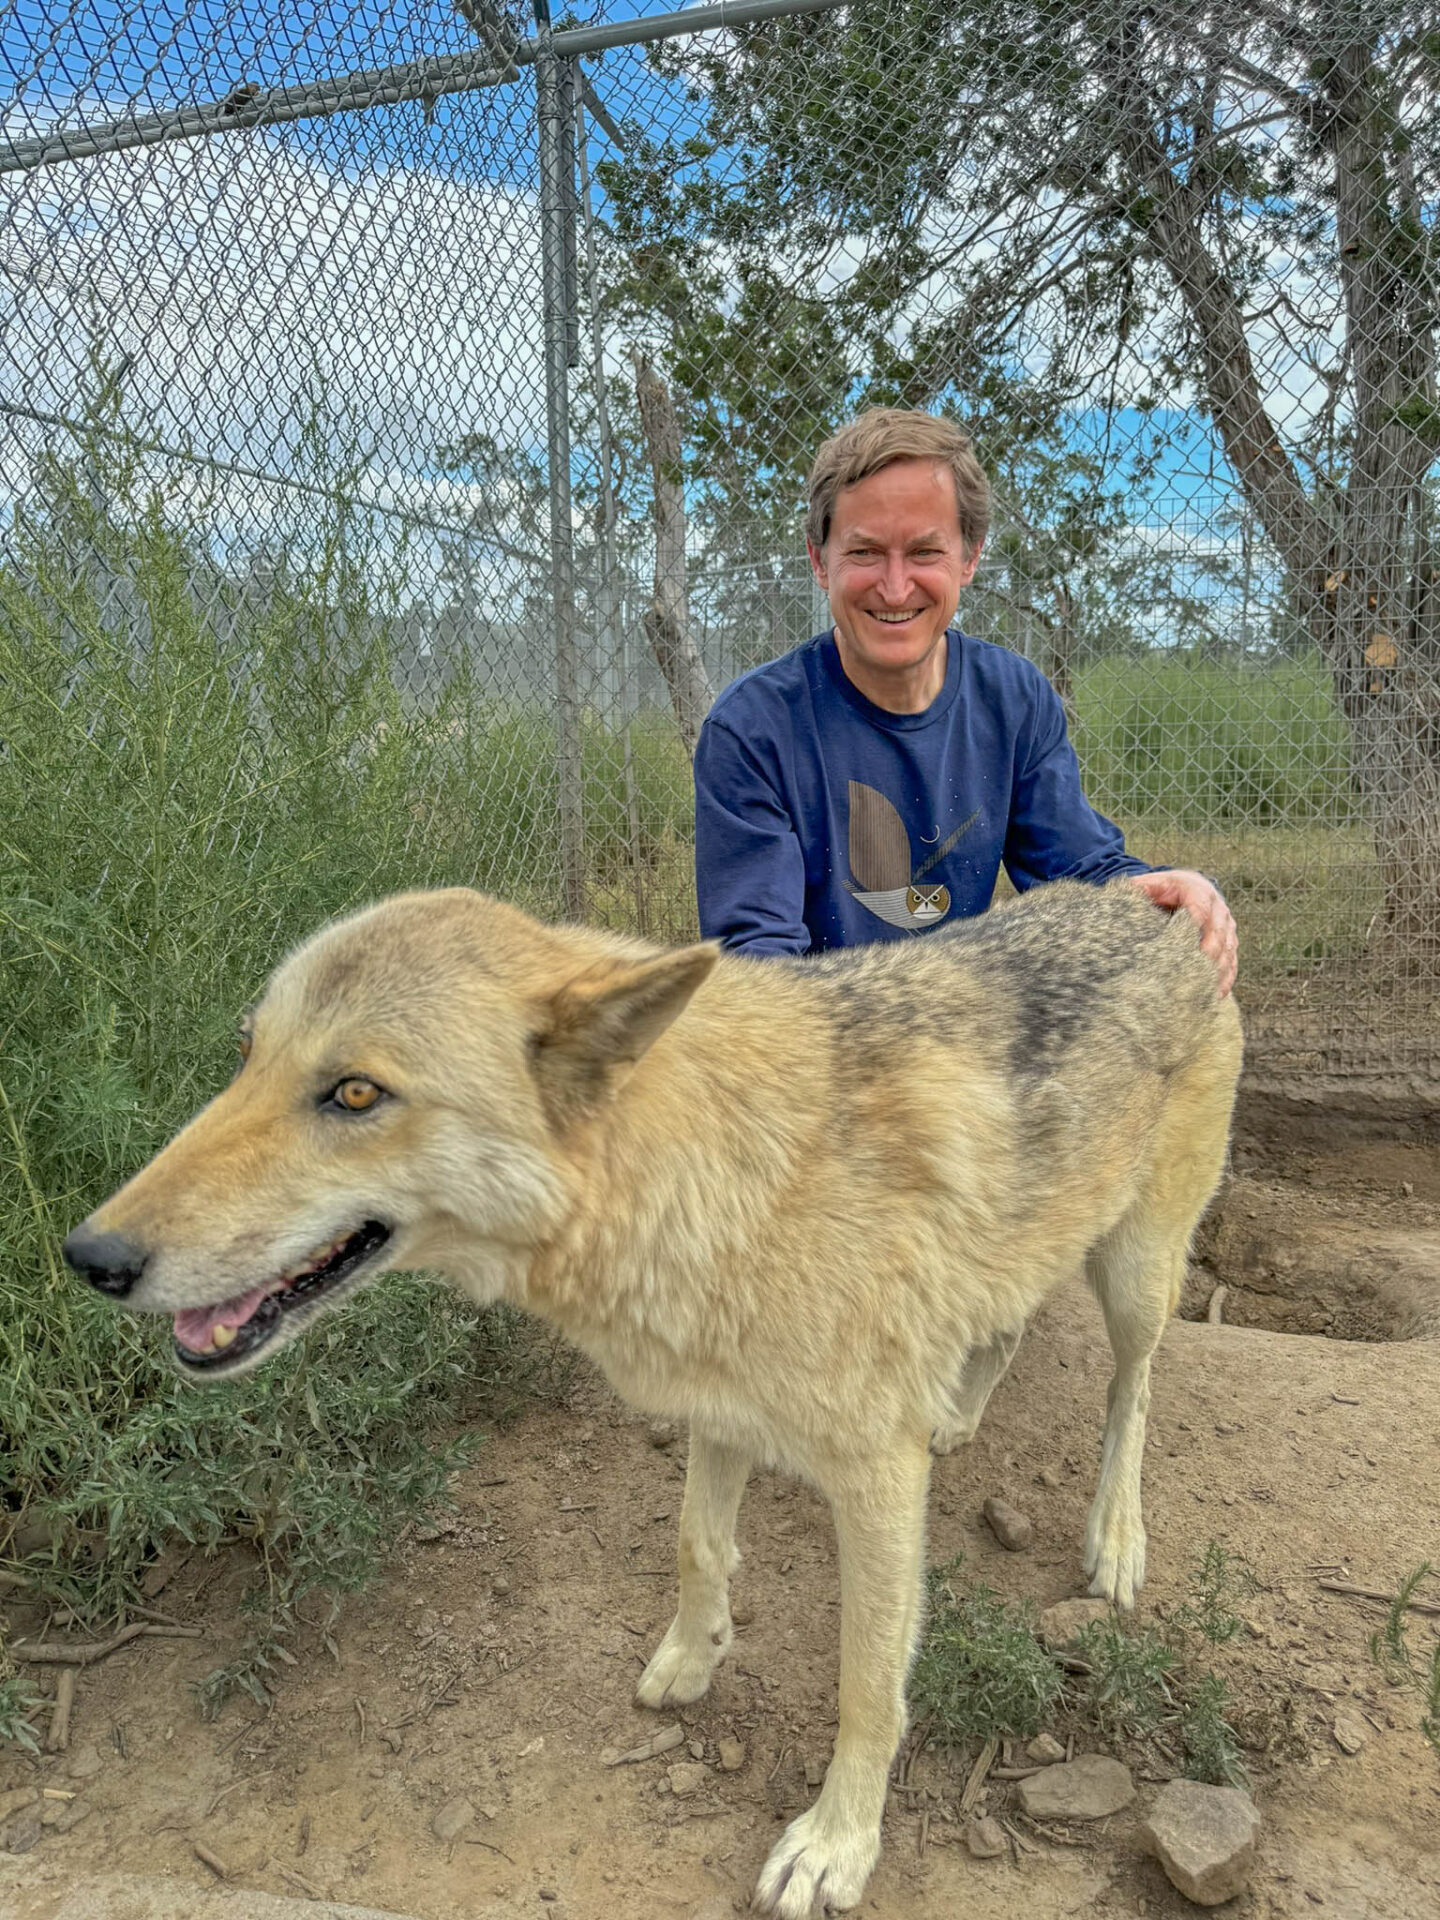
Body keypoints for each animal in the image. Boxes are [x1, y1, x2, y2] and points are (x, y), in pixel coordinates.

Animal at [64, 883, 1244, 1920]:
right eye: (246, 1053)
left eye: (355, 1093)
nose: (89, 1258)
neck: (720, 1171)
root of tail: (1147, 903)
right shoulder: (720, 1408)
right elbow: (696, 1544)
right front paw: (694, 1653)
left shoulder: (874, 1476)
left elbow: (868, 1682)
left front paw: (836, 1845)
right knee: (1006, 1319)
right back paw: (959, 1411)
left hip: (1136, 1273)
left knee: (1133, 1390)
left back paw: (1116, 1537)